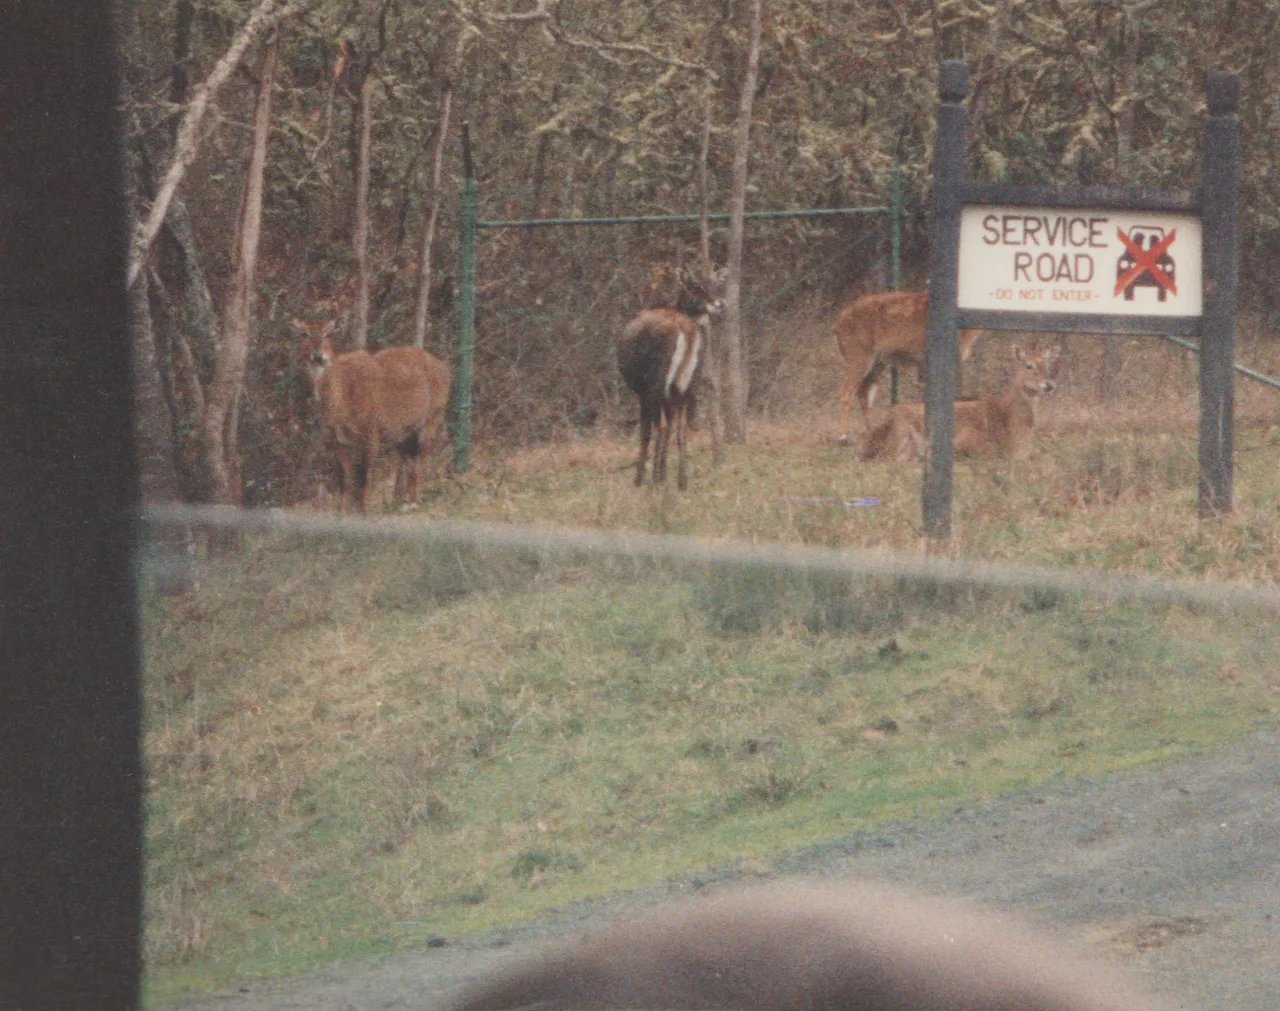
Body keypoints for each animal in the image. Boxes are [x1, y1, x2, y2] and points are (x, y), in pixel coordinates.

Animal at [295, 321, 453, 514]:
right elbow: (345, 479)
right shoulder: (337, 441)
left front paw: (364, 511)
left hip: (433, 416)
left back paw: (414, 501)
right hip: (403, 430)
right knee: (406, 457)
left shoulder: (371, 433)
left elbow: (364, 477)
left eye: (327, 334)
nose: (318, 355)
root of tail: (446, 369)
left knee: (422, 457)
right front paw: (342, 512)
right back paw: (399, 500)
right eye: (304, 333)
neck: (340, 405)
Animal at [616, 261, 727, 491]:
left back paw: (654, 480)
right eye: (695, 287)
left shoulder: (643, 392)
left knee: (661, 426)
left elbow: (646, 431)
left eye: (716, 285)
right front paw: (664, 472)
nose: (719, 303)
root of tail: (687, 332)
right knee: (681, 428)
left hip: (657, 383)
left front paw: (641, 478)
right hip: (687, 383)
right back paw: (681, 480)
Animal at [834, 286, 983, 440]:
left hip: (878, 362)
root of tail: (838, 322)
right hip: (859, 355)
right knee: (846, 391)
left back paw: (871, 432)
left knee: (864, 391)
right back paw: (843, 436)